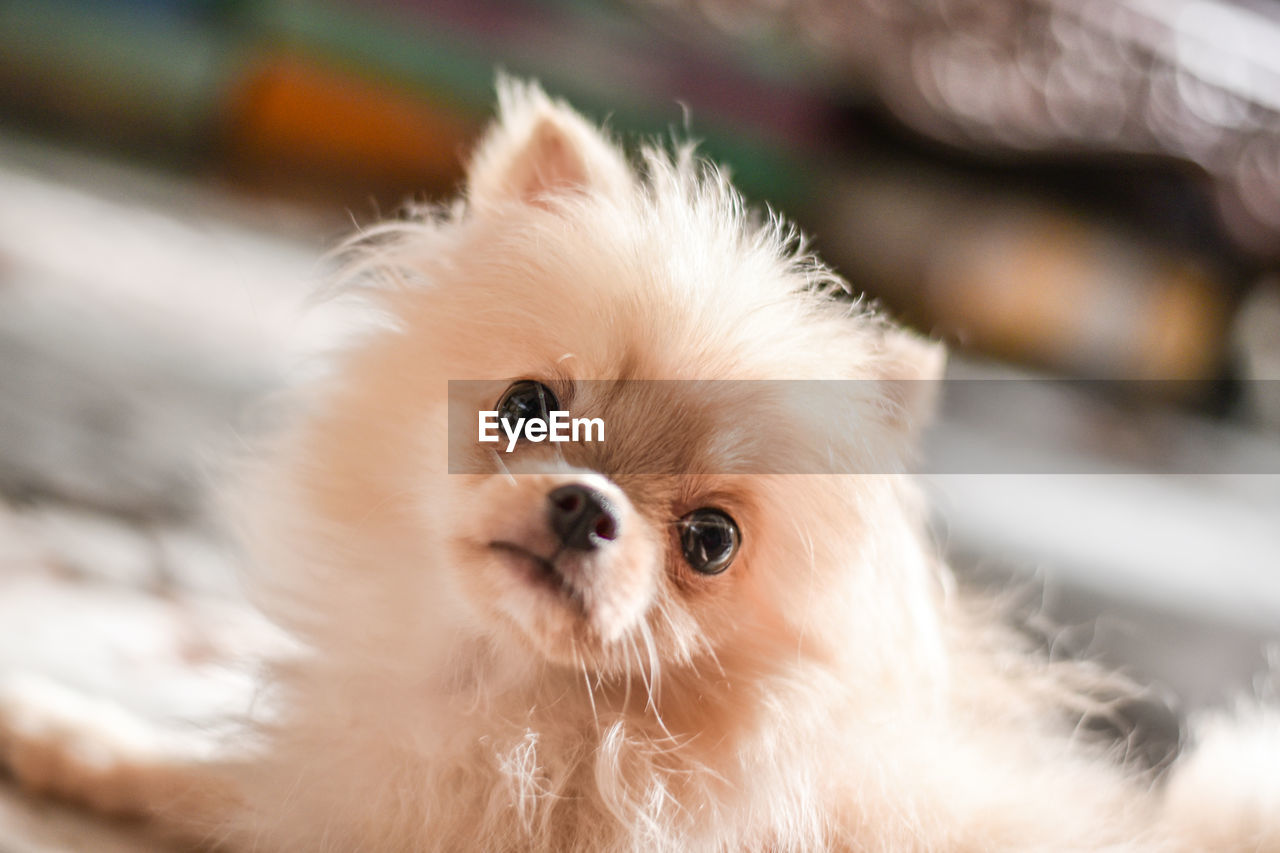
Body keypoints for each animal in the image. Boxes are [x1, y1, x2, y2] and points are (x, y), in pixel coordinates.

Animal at [2, 79, 1280, 850]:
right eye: (526, 406)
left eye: (709, 541)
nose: (584, 507)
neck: (524, 709)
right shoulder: (343, 786)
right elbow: (191, 762)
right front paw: (57, 728)